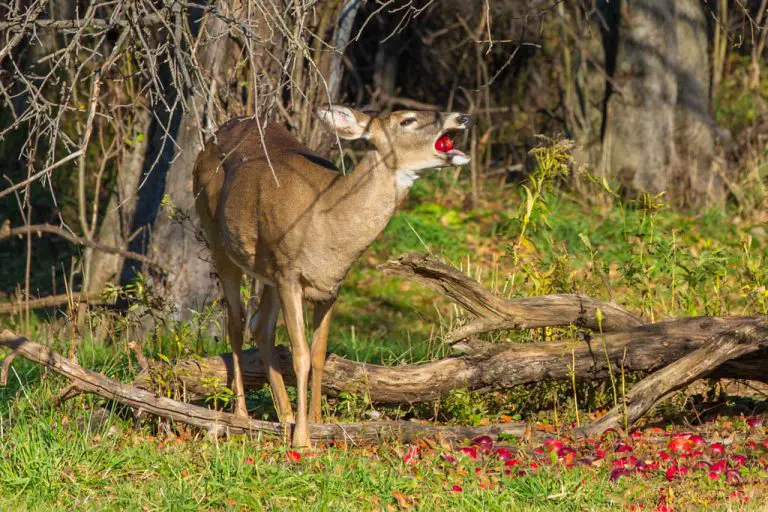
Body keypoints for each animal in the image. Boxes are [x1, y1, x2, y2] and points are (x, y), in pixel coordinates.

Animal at [192, 106, 472, 446]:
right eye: (407, 120)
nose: (462, 117)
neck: (327, 223)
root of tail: (211, 139)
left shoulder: (330, 286)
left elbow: (318, 355)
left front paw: (316, 422)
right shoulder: (290, 275)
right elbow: (300, 355)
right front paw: (302, 440)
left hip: (268, 267)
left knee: (260, 325)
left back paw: (284, 414)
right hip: (217, 237)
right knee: (236, 321)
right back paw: (241, 415)